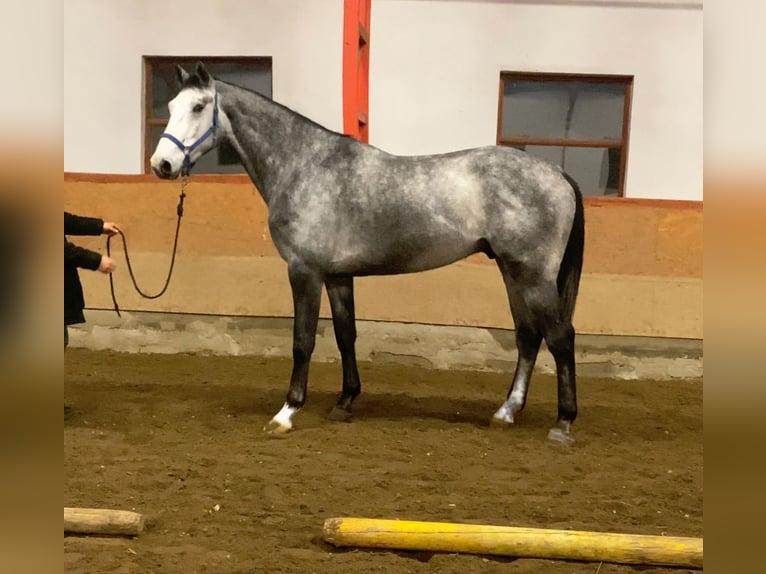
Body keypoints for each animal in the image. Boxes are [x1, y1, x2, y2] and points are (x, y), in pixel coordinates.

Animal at [150, 62, 585, 444]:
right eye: (170, 107)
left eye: (199, 106)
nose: (162, 164)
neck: (304, 164)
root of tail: (557, 173)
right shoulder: (338, 275)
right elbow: (346, 335)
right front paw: (345, 402)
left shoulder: (304, 271)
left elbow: (302, 340)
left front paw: (287, 413)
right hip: (513, 272)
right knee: (528, 336)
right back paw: (506, 412)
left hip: (533, 275)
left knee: (560, 336)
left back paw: (563, 424)